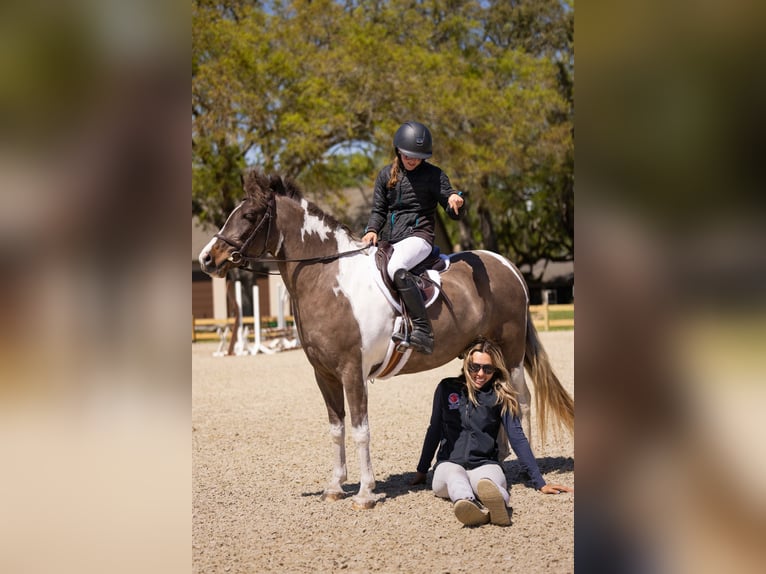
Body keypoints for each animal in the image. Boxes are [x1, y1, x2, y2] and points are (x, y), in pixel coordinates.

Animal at [198, 169, 574, 509]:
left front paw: (365, 493)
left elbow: (360, 429)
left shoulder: (352, 372)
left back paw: (521, 465)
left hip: (510, 351)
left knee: (521, 400)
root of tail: (507, 265)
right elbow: (336, 428)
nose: (207, 259)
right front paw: (335, 487)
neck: (328, 279)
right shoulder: (325, 375)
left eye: (248, 215)